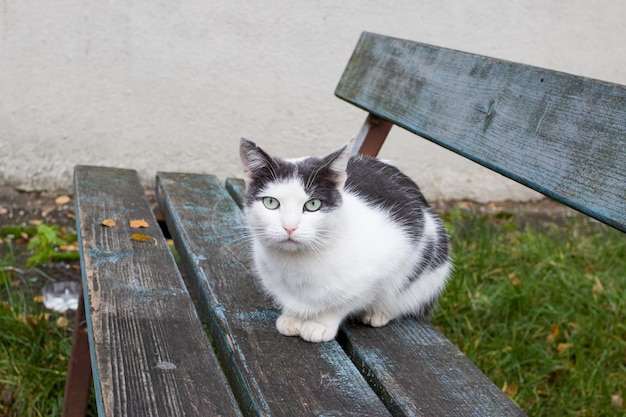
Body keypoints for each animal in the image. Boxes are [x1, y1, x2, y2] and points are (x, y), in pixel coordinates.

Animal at [238, 137, 448, 342]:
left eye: (313, 204)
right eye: (270, 202)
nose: (289, 227)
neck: (296, 264)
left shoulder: (390, 258)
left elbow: (343, 303)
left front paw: (320, 324)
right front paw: (292, 316)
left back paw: (378, 313)